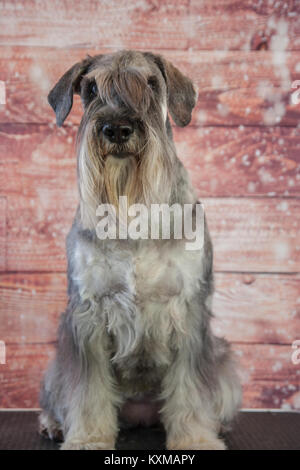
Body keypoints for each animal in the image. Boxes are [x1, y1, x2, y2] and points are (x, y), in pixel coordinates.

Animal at [39, 49, 241, 450]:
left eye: (150, 83)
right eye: (90, 88)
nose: (117, 128)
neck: (132, 213)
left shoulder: (189, 309)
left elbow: (190, 389)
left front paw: (196, 438)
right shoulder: (87, 314)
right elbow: (87, 391)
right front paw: (87, 438)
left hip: (224, 360)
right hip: (55, 367)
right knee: (61, 393)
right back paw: (53, 423)